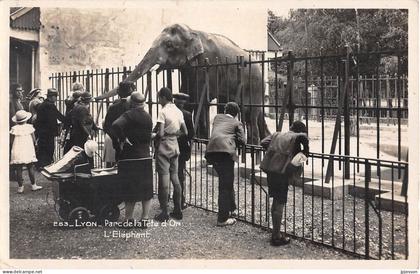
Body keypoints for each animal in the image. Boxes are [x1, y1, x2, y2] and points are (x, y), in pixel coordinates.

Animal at [96, 24, 270, 143]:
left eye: (169, 45)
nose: (125, 86)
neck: (193, 30)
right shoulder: (188, 68)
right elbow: (186, 91)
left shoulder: (207, 63)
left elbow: (199, 95)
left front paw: (198, 139)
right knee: (253, 113)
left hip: (254, 85)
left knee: (250, 114)